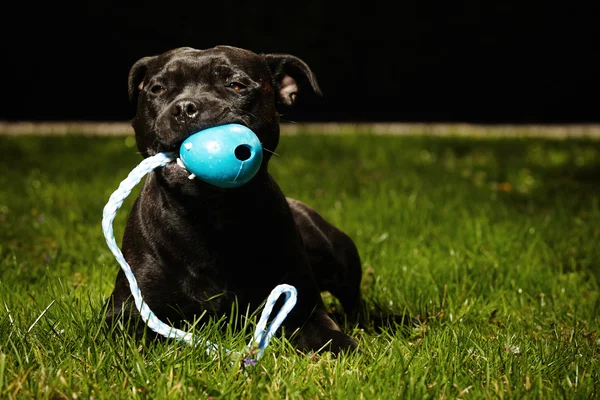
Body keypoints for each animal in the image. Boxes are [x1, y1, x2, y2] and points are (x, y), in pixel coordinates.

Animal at [104, 45, 366, 354]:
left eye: (236, 85)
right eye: (158, 89)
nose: (186, 108)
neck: (209, 217)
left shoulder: (305, 308)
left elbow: (331, 336)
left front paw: (344, 349)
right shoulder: (126, 312)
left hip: (339, 255)